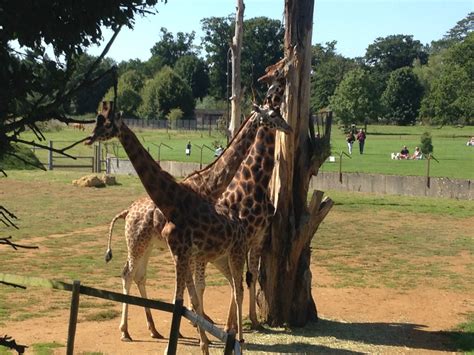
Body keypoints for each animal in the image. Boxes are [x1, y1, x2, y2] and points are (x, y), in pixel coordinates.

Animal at [86, 101, 290, 354]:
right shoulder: (192, 252)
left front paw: (203, 332)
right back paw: (128, 331)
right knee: (130, 274)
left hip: (153, 246)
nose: (288, 127)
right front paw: (201, 332)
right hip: (139, 243)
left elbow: (194, 292)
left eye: (105, 122)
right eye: (273, 113)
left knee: (140, 276)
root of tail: (127, 211)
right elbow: (191, 293)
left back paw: (155, 330)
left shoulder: (194, 252)